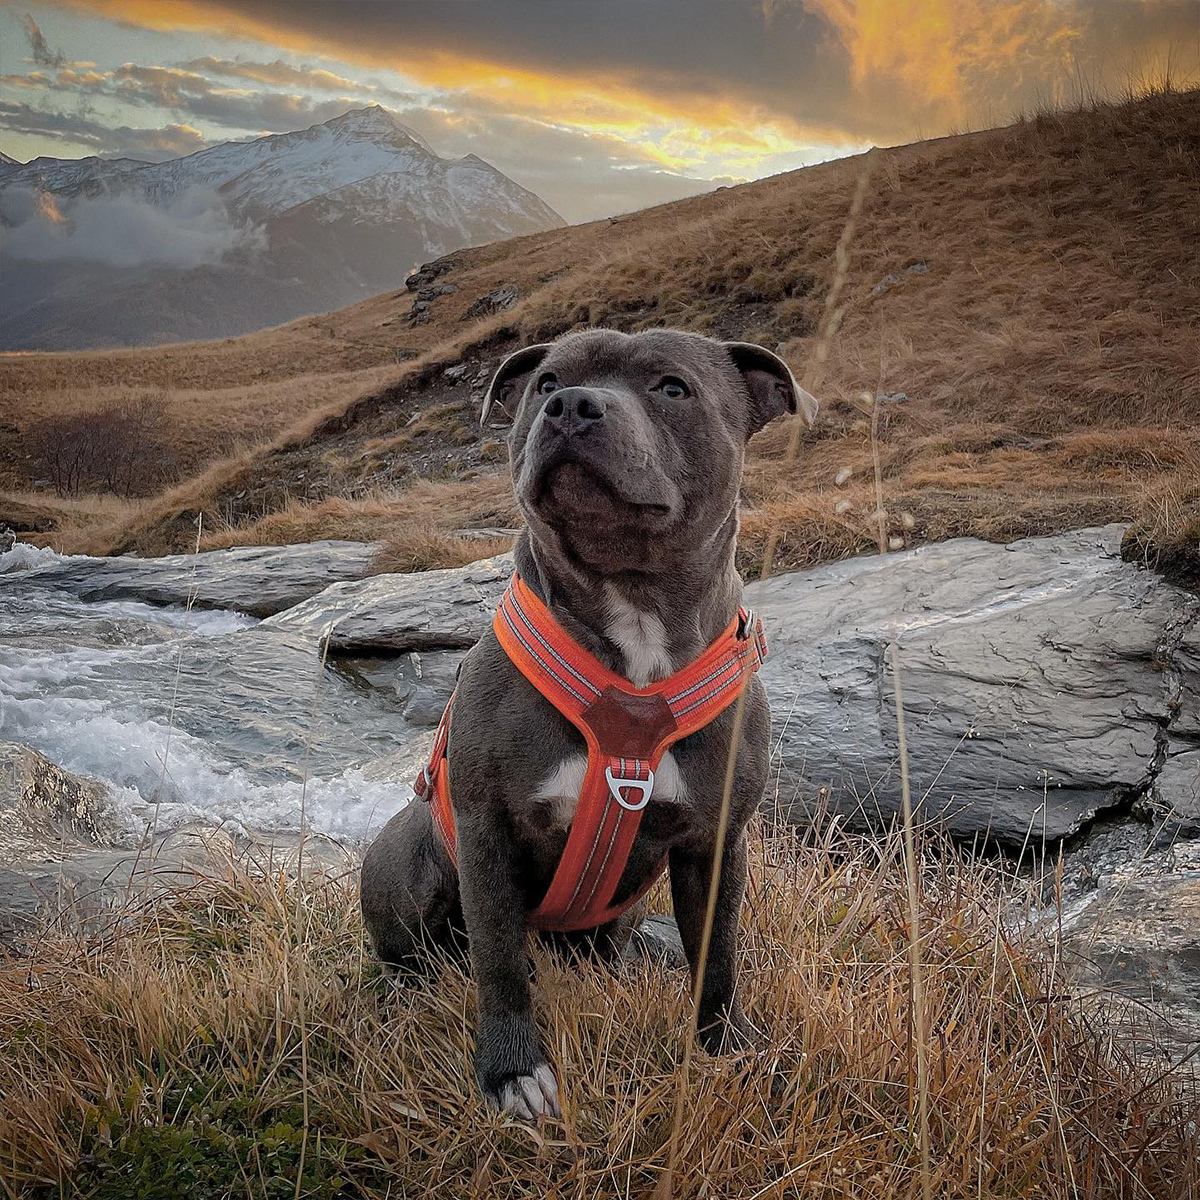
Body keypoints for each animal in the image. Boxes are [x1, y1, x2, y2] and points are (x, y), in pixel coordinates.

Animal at [360, 326, 820, 1113]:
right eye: (545, 382)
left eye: (672, 387)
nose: (572, 405)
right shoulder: (487, 832)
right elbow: (500, 963)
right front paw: (512, 1072)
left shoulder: (717, 841)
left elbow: (718, 954)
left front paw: (724, 1047)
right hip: (405, 864)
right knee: (417, 956)